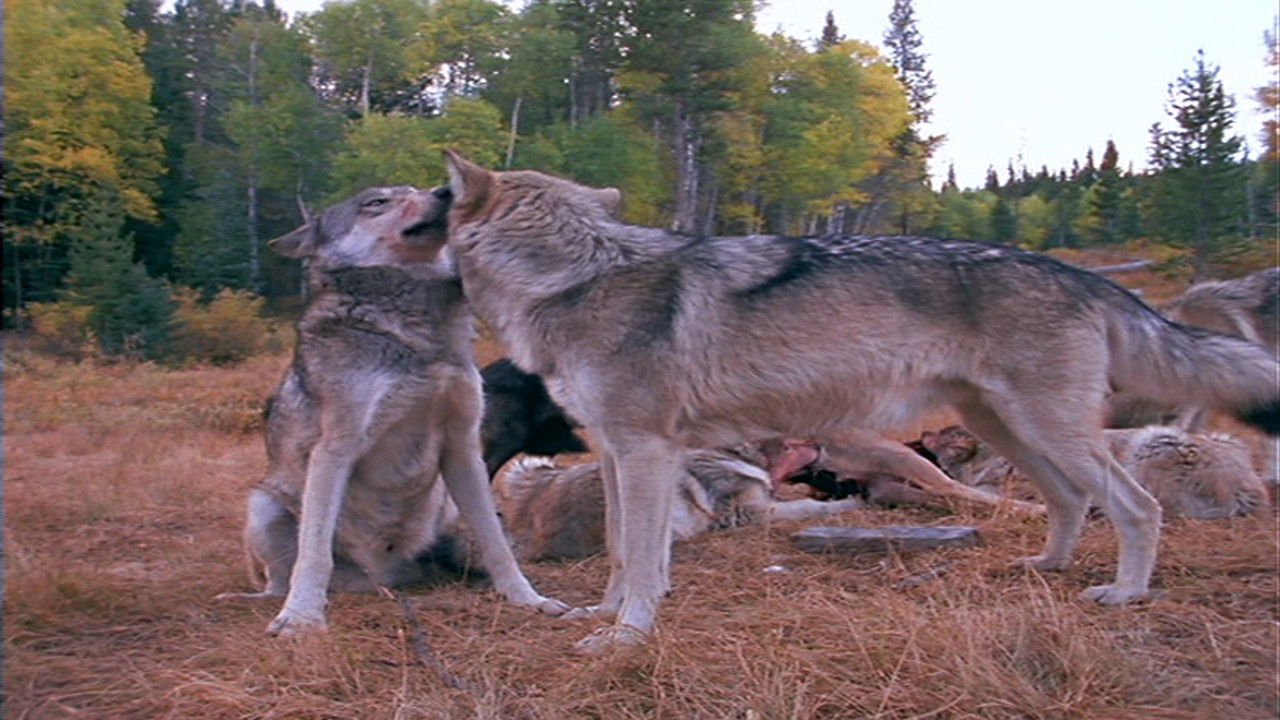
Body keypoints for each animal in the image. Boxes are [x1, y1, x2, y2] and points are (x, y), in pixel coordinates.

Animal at [216, 185, 566, 635]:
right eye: (377, 202)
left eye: (417, 190)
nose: (447, 190)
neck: (416, 332)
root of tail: (384, 577)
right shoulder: (335, 450)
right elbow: (314, 554)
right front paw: (301, 619)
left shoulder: (463, 447)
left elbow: (496, 544)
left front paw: (528, 600)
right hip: (263, 504)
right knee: (280, 581)